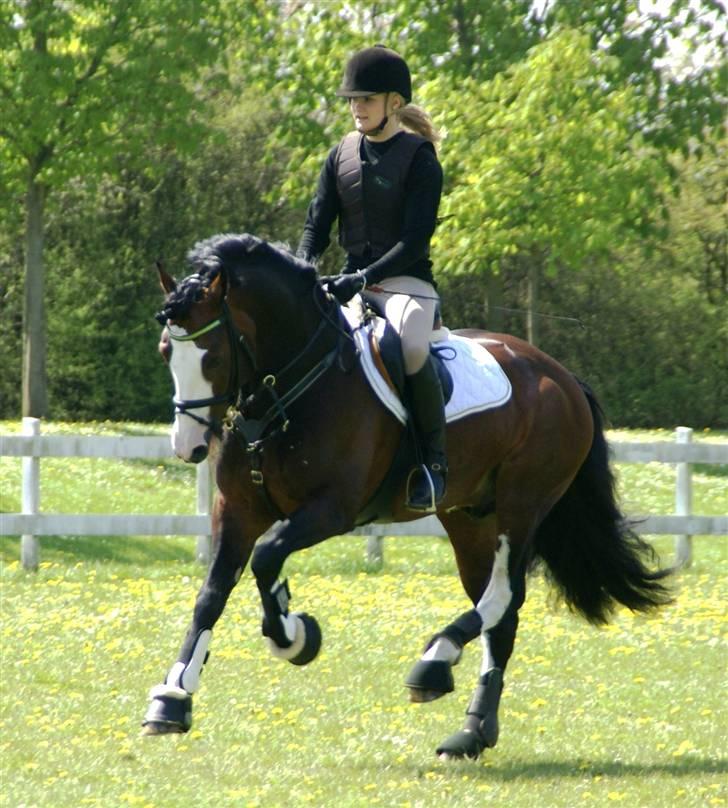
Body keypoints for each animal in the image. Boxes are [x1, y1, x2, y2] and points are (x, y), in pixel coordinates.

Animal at [142, 232, 672, 756]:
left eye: (212, 355)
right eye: (166, 350)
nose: (187, 447)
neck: (286, 391)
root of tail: (561, 376)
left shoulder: (331, 509)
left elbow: (268, 557)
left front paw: (295, 636)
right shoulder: (236, 509)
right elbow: (211, 594)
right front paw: (171, 698)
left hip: (522, 504)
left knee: (502, 594)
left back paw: (435, 660)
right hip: (468, 516)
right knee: (500, 613)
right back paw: (472, 730)